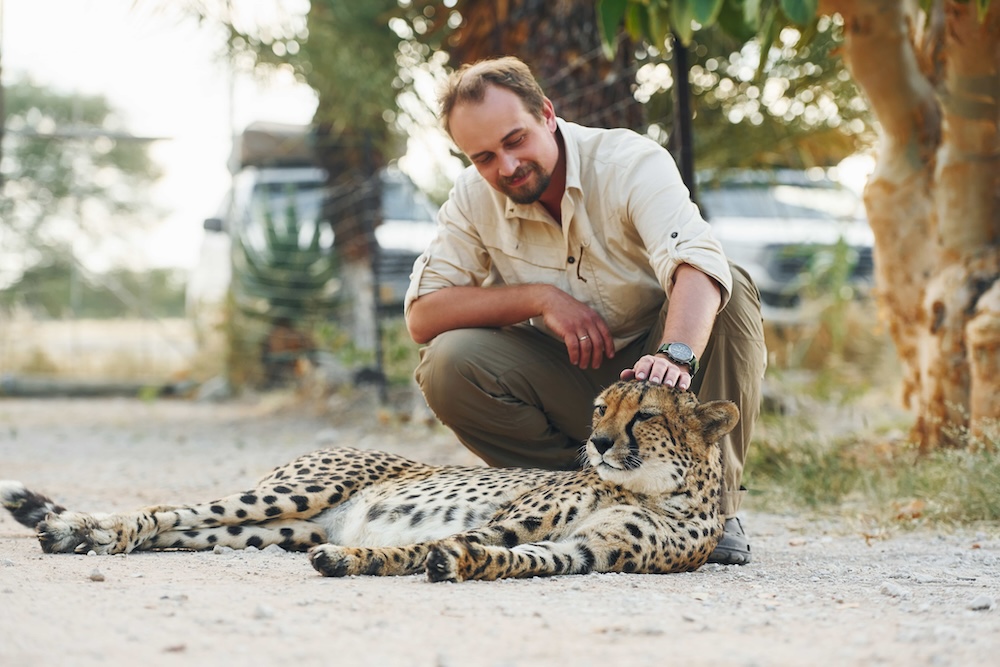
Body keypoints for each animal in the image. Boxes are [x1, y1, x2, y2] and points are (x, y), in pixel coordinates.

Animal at [0, 380, 736, 584]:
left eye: (644, 413)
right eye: (600, 408)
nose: (598, 443)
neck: (663, 491)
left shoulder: (585, 551)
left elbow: (513, 559)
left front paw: (459, 563)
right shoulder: (513, 516)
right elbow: (424, 544)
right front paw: (374, 559)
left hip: (272, 530)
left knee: (182, 528)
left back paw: (84, 536)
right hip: (290, 492)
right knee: (165, 509)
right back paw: (71, 526)